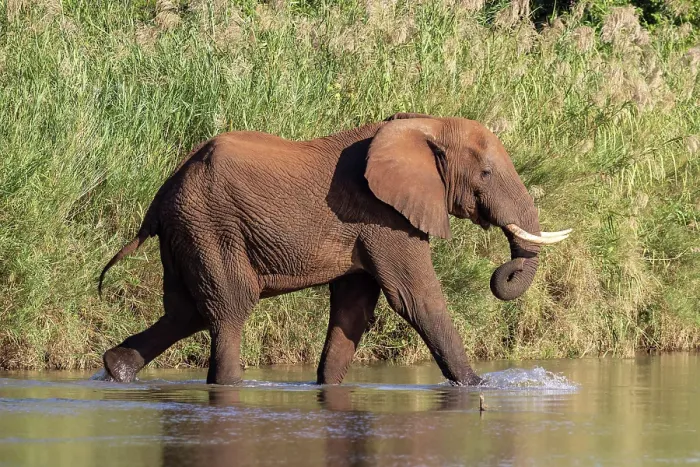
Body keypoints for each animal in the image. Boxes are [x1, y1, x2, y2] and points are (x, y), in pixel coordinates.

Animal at [98, 112, 570, 386]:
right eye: (486, 173)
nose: (503, 273)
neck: (422, 125)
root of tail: (162, 194)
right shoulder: (384, 217)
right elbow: (417, 298)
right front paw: (476, 387)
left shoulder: (372, 226)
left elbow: (353, 308)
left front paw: (326, 387)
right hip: (210, 226)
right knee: (229, 308)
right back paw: (227, 385)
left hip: (187, 232)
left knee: (186, 311)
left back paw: (116, 369)